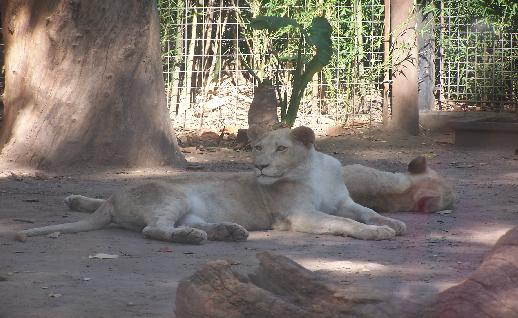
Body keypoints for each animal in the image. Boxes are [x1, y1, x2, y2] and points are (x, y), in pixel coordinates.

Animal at [17, 126, 406, 243]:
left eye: (281, 148)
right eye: (257, 148)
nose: (259, 166)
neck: (311, 170)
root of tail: (113, 201)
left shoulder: (343, 201)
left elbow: (365, 211)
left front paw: (391, 222)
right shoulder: (297, 215)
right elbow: (343, 222)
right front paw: (376, 233)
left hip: (190, 208)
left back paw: (226, 231)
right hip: (172, 194)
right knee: (153, 229)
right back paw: (192, 238)